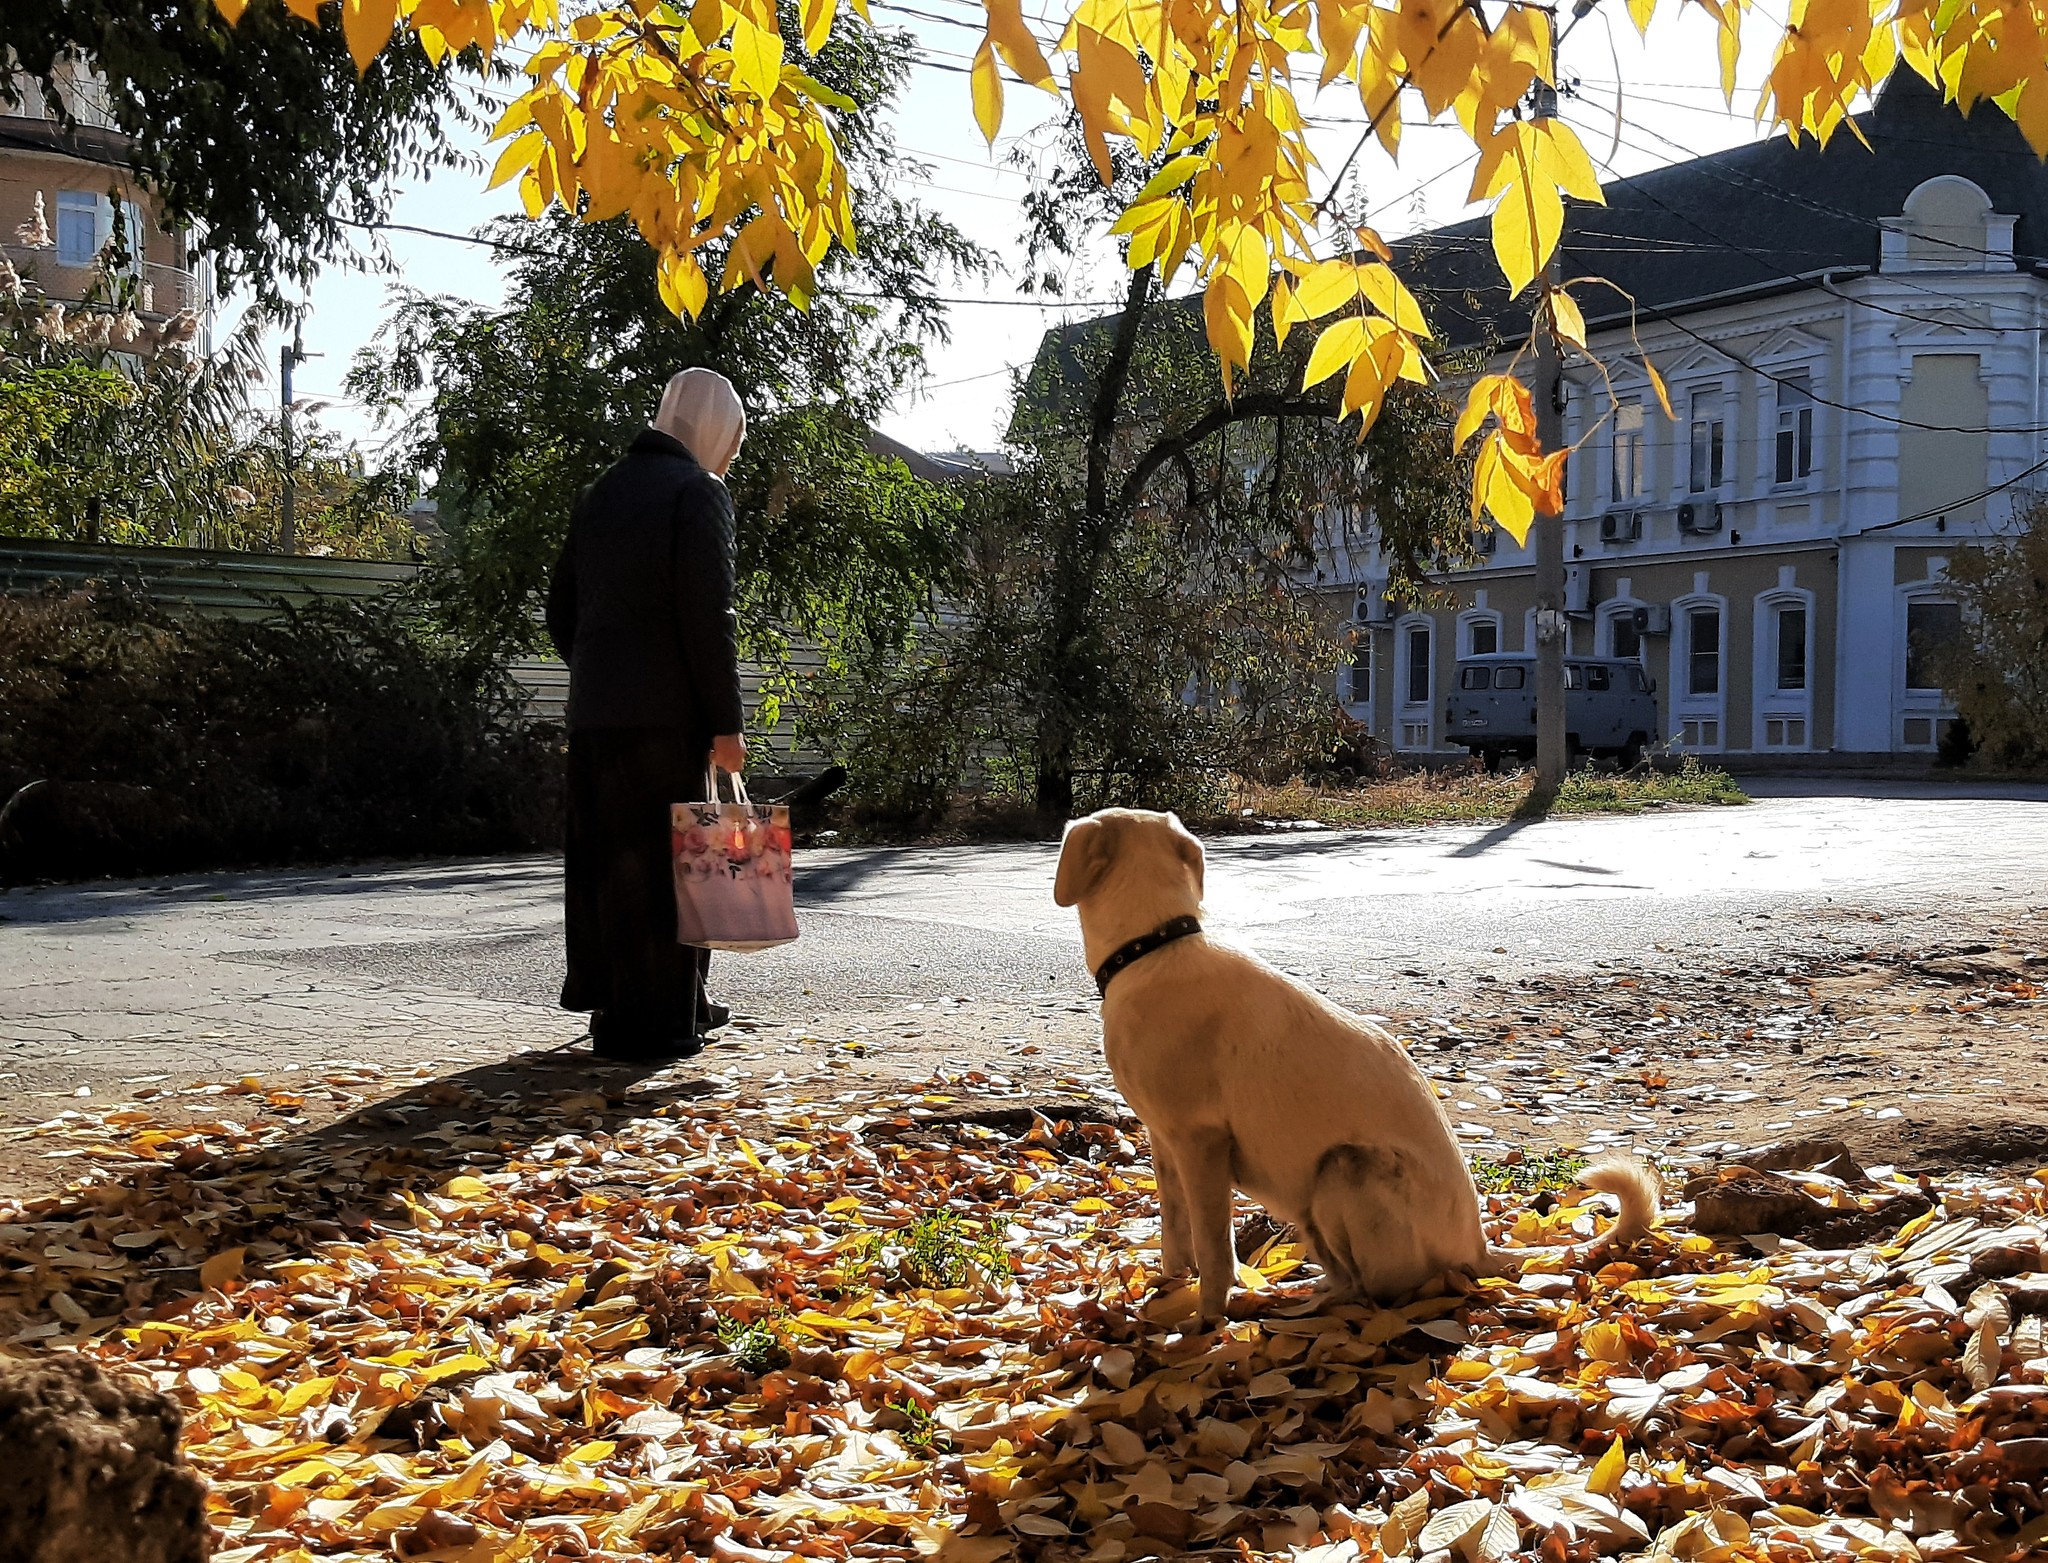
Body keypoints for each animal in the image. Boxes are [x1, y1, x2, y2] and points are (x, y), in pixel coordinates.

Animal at [1048, 807, 1654, 1335]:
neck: (1150, 949)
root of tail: (1477, 1247)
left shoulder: (1201, 1144)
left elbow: (1214, 1250)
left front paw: (1207, 1320)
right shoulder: (1163, 1139)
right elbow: (1175, 1231)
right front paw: (1171, 1286)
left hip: (1343, 1169)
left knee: (1372, 1291)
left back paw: (1290, 1307)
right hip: (1308, 1208)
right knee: (1344, 1279)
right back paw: (1293, 1293)